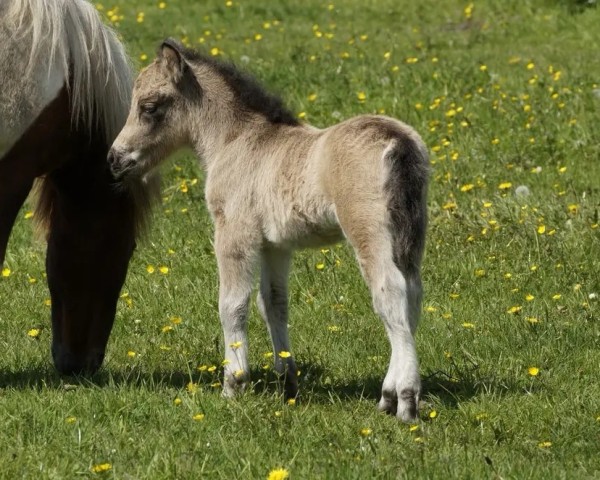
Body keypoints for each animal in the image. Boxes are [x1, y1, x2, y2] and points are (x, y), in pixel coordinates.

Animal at [110, 41, 428, 424]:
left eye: (149, 107)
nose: (114, 159)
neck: (236, 141)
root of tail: (398, 141)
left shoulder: (233, 233)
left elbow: (232, 304)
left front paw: (233, 384)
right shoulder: (275, 246)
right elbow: (273, 303)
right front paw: (287, 384)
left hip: (368, 230)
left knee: (390, 294)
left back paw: (404, 400)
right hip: (408, 235)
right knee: (412, 294)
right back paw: (388, 395)